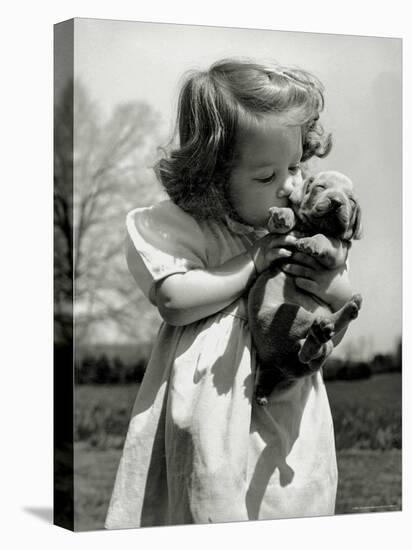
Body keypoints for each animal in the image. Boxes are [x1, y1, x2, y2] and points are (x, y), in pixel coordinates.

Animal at [246, 170, 362, 408]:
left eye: (351, 200)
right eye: (320, 187)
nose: (336, 202)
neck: (313, 227)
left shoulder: (339, 250)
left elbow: (327, 239)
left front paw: (313, 243)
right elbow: (283, 218)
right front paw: (281, 215)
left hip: (291, 316)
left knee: (316, 348)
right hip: (284, 323)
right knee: (312, 352)